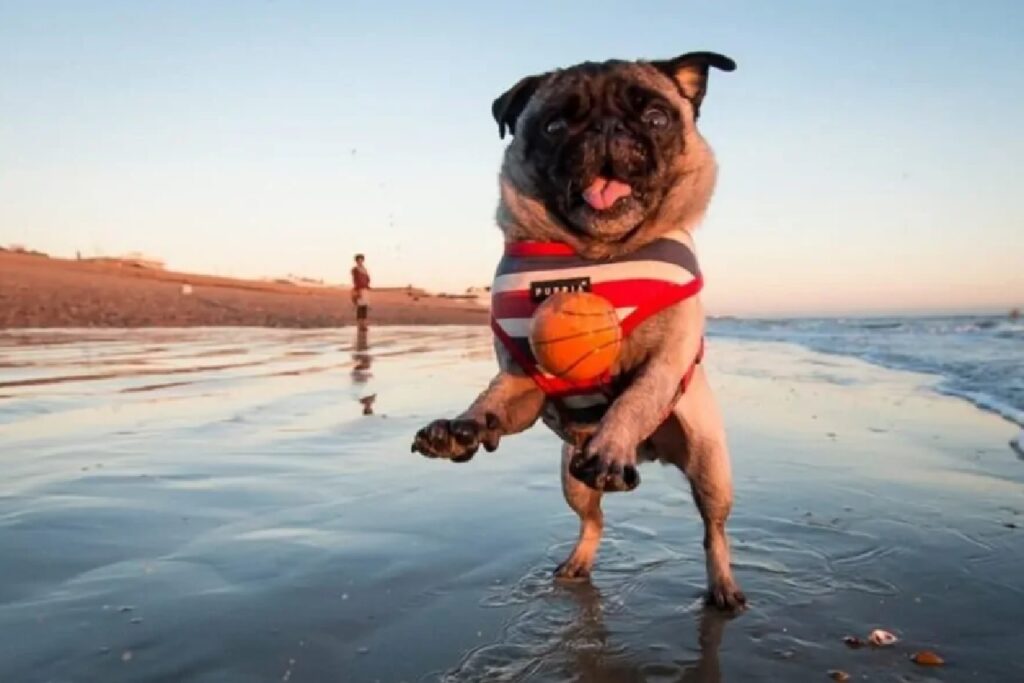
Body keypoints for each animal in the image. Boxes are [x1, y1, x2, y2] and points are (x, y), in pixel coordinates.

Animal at [409, 52, 745, 610]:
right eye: (555, 126)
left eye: (656, 118)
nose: (607, 128)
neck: (597, 255)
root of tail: (650, 453)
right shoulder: (522, 384)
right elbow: (491, 401)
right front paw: (462, 427)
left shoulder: (666, 363)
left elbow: (635, 399)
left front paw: (612, 442)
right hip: (573, 478)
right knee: (594, 522)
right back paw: (578, 563)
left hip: (709, 466)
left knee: (712, 529)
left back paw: (723, 584)